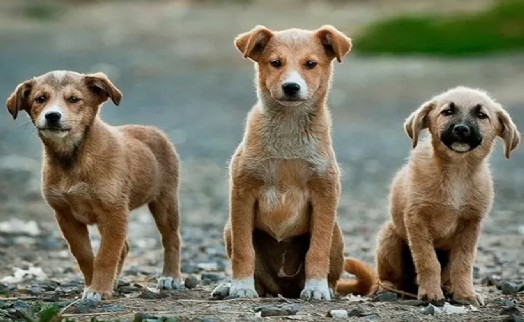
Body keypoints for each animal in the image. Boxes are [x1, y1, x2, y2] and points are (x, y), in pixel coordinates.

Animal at [5, 71, 182, 300]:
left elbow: (106, 255)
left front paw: (98, 289)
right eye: (40, 99)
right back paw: (114, 281)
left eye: (74, 99)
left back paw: (171, 276)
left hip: (165, 201)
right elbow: (85, 255)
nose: (52, 116)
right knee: (124, 247)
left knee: (171, 239)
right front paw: (93, 285)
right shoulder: (65, 215)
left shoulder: (114, 212)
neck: (73, 158)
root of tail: (154, 130)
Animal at [214, 25, 376, 302]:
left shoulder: (324, 193)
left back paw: (325, 287)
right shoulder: (243, 191)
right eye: (275, 63)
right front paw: (241, 286)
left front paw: (316, 288)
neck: (288, 129)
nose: (291, 87)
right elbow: (244, 250)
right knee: (259, 276)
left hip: (336, 233)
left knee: (331, 272)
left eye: (310, 64)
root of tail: (284, 288)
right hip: (228, 229)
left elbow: (317, 250)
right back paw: (234, 286)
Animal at [376, 87, 520, 306]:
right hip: (389, 237)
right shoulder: (416, 219)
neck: (456, 172)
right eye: (447, 112)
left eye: (481, 115)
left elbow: (463, 263)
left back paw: (449, 288)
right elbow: (427, 260)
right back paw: (388, 287)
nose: (461, 129)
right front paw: (430, 293)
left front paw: (466, 294)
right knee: (390, 277)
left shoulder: (470, 224)